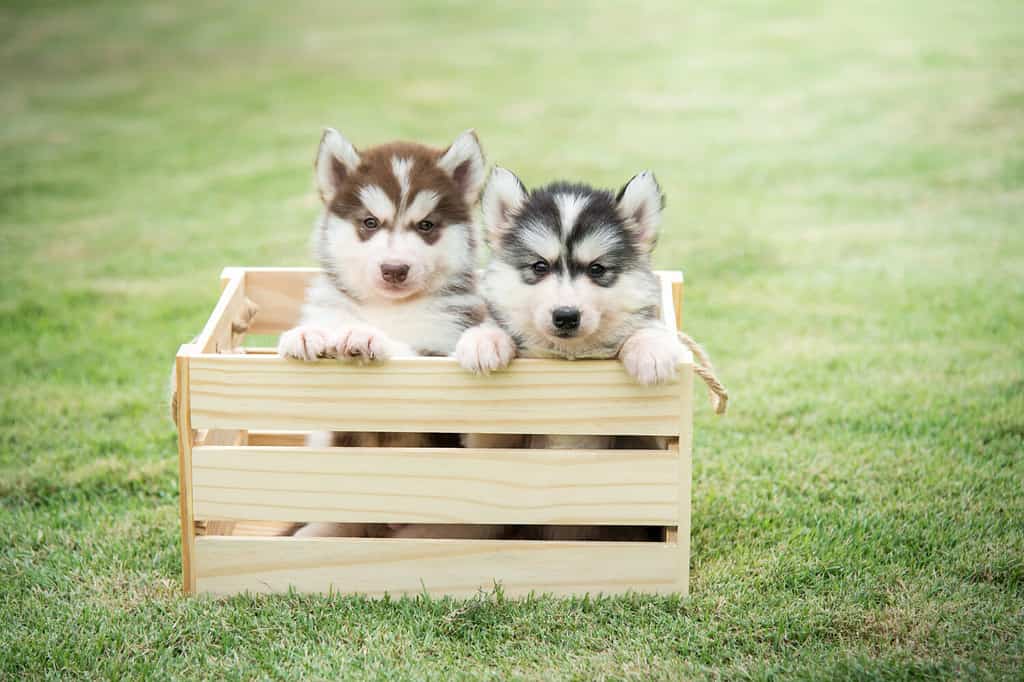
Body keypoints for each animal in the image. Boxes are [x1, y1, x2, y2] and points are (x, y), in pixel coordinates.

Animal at [280, 127, 487, 536]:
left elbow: (410, 352)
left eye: (426, 226)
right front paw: (306, 336)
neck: (387, 309)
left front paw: (366, 337)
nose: (394, 269)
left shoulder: (442, 345)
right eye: (370, 222)